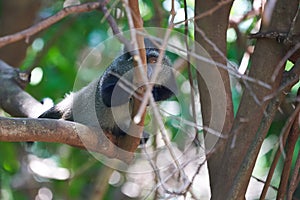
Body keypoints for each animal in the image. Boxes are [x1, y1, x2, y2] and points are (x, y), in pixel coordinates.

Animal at [38, 39, 177, 143]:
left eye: (153, 61)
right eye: (138, 63)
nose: (147, 72)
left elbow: (170, 90)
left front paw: (152, 94)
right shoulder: (113, 71)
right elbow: (106, 96)